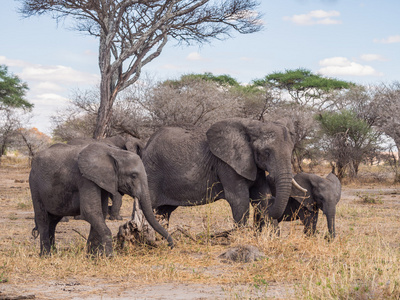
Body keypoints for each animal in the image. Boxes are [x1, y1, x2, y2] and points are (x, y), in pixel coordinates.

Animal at [29, 142, 173, 255]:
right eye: (133, 175)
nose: (170, 246)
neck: (114, 153)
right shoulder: (85, 178)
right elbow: (90, 211)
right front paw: (109, 256)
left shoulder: (103, 180)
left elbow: (100, 213)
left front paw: (93, 256)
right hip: (34, 184)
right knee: (43, 219)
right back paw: (46, 256)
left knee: (53, 221)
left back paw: (52, 253)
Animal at [141, 118, 304, 230]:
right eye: (266, 152)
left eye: (291, 151)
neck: (252, 127)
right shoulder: (226, 165)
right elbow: (239, 200)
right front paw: (241, 239)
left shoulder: (254, 166)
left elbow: (262, 196)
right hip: (151, 172)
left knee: (164, 211)